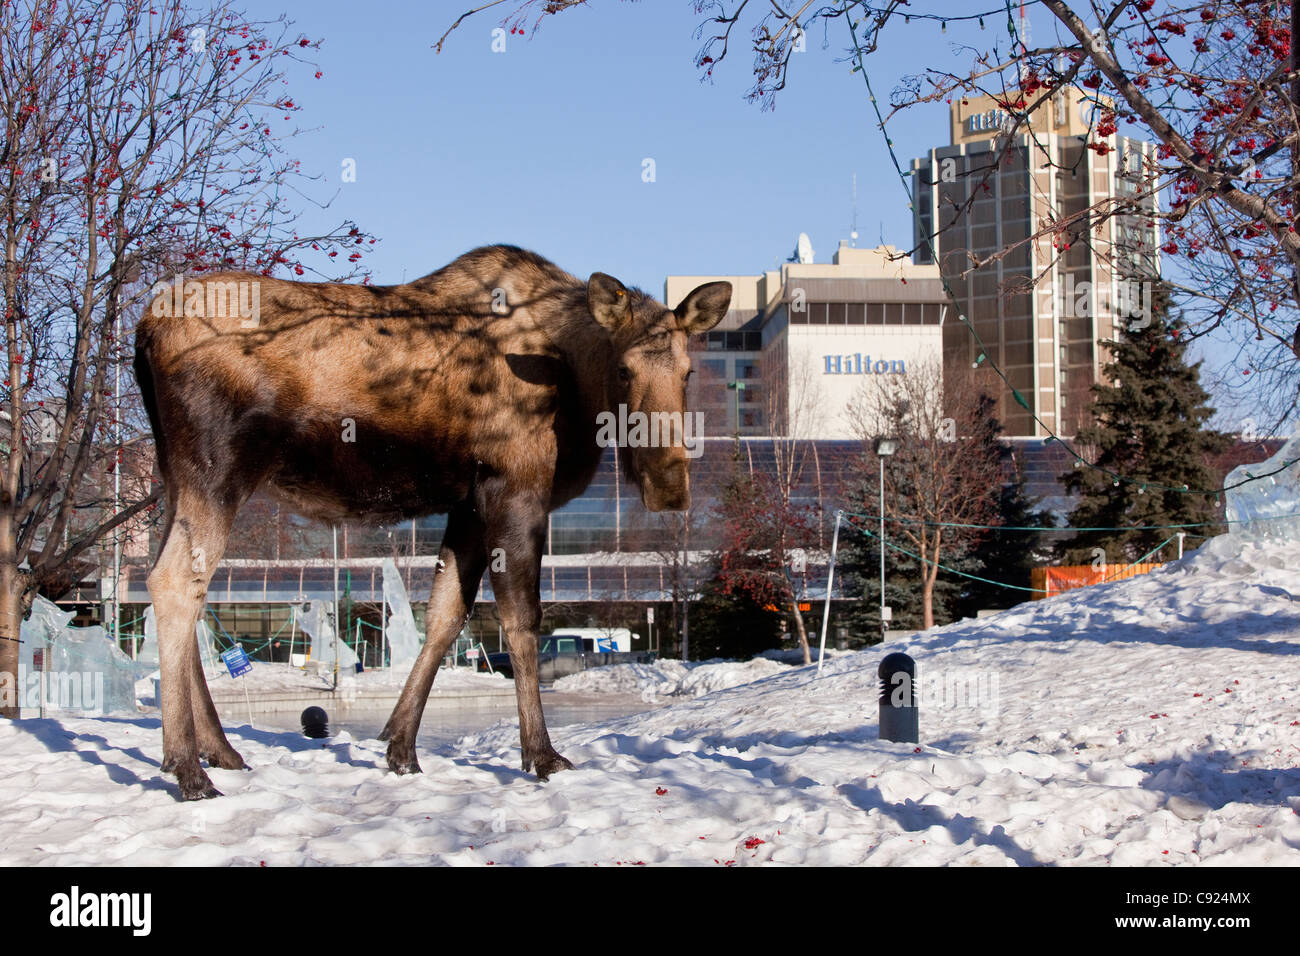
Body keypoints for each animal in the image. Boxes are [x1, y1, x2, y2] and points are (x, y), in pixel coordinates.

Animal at [137, 244, 738, 801]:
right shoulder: (514, 486)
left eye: (687, 373)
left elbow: (446, 615)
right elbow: (521, 621)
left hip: (176, 478)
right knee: (173, 584)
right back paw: (188, 767)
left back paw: (219, 750)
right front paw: (541, 755)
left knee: (177, 588)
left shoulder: (467, 504)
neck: (576, 384)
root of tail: (143, 330)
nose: (669, 485)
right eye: (623, 369)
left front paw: (400, 747)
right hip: (217, 469)